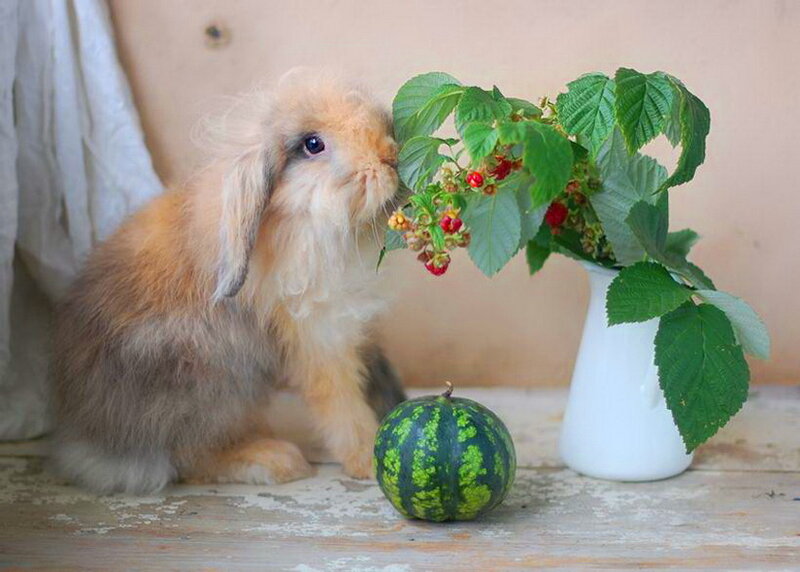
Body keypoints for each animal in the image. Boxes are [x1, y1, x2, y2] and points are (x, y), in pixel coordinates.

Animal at [51, 70, 406, 494]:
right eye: (312, 144)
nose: (390, 157)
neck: (299, 222)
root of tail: (88, 439)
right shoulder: (318, 336)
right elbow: (342, 404)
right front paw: (369, 459)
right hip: (211, 382)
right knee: (190, 457)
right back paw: (273, 461)